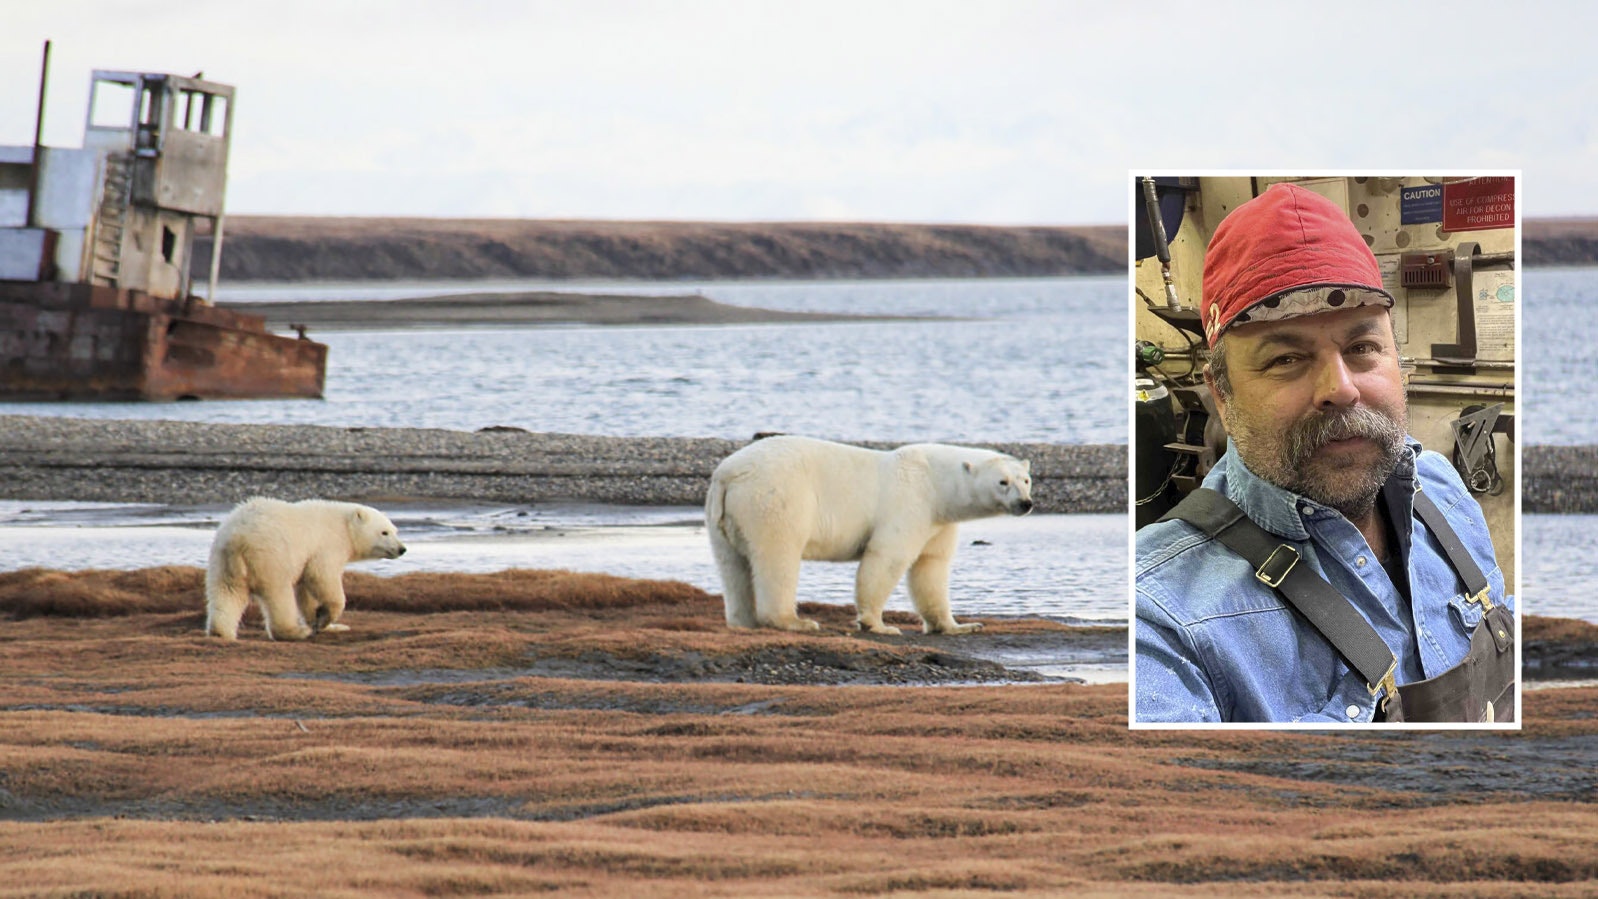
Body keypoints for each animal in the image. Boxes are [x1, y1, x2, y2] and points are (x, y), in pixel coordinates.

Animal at [206, 498, 409, 638]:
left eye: (395, 530)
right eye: (384, 532)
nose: (402, 549)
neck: (344, 526)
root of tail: (237, 540)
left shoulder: (308, 557)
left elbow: (307, 590)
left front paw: (323, 623)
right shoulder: (326, 545)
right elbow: (322, 576)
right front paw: (326, 618)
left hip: (221, 562)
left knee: (227, 594)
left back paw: (220, 632)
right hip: (270, 557)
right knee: (279, 595)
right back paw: (295, 631)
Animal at [709, 434, 1035, 632]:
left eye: (1026, 480)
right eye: (1003, 482)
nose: (1026, 503)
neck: (935, 481)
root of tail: (728, 474)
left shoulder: (937, 521)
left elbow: (931, 567)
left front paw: (959, 626)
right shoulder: (910, 502)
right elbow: (887, 557)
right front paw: (878, 624)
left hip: (724, 516)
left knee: (732, 565)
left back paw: (743, 620)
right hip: (776, 499)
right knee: (778, 557)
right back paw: (795, 621)